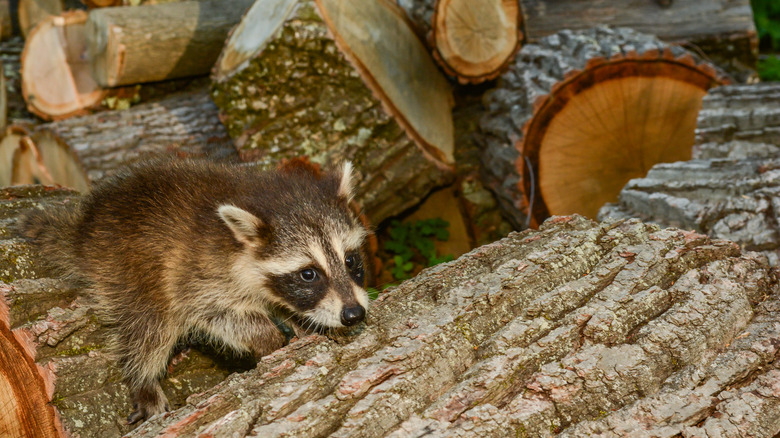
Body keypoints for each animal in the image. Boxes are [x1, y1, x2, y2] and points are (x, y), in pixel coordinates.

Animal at [18, 158, 369, 424]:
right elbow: (213, 312)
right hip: (128, 269)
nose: (354, 314)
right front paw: (267, 337)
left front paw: (303, 321)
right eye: (309, 273)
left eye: (350, 260)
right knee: (147, 327)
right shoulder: (196, 272)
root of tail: (84, 230)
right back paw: (142, 378)